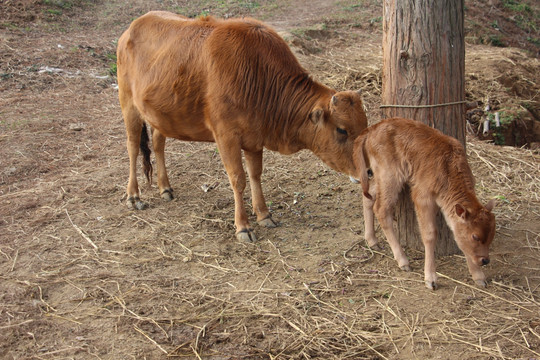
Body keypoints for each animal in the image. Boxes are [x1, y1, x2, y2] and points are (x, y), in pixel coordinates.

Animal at [117, 11, 372, 242]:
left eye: (365, 125)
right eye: (341, 129)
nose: (368, 172)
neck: (259, 77)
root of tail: (131, 28)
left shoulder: (254, 138)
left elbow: (255, 175)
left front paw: (264, 215)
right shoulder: (226, 136)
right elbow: (238, 178)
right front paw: (243, 226)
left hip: (159, 114)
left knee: (158, 142)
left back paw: (165, 188)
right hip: (129, 104)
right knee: (132, 147)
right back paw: (133, 196)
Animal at [352, 118, 496, 290]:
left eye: (492, 235)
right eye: (475, 236)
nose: (485, 260)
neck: (449, 168)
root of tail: (372, 129)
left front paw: (479, 277)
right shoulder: (422, 197)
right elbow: (430, 234)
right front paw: (431, 279)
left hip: (381, 178)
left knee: (369, 195)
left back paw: (372, 241)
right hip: (390, 176)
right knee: (381, 209)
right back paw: (403, 261)